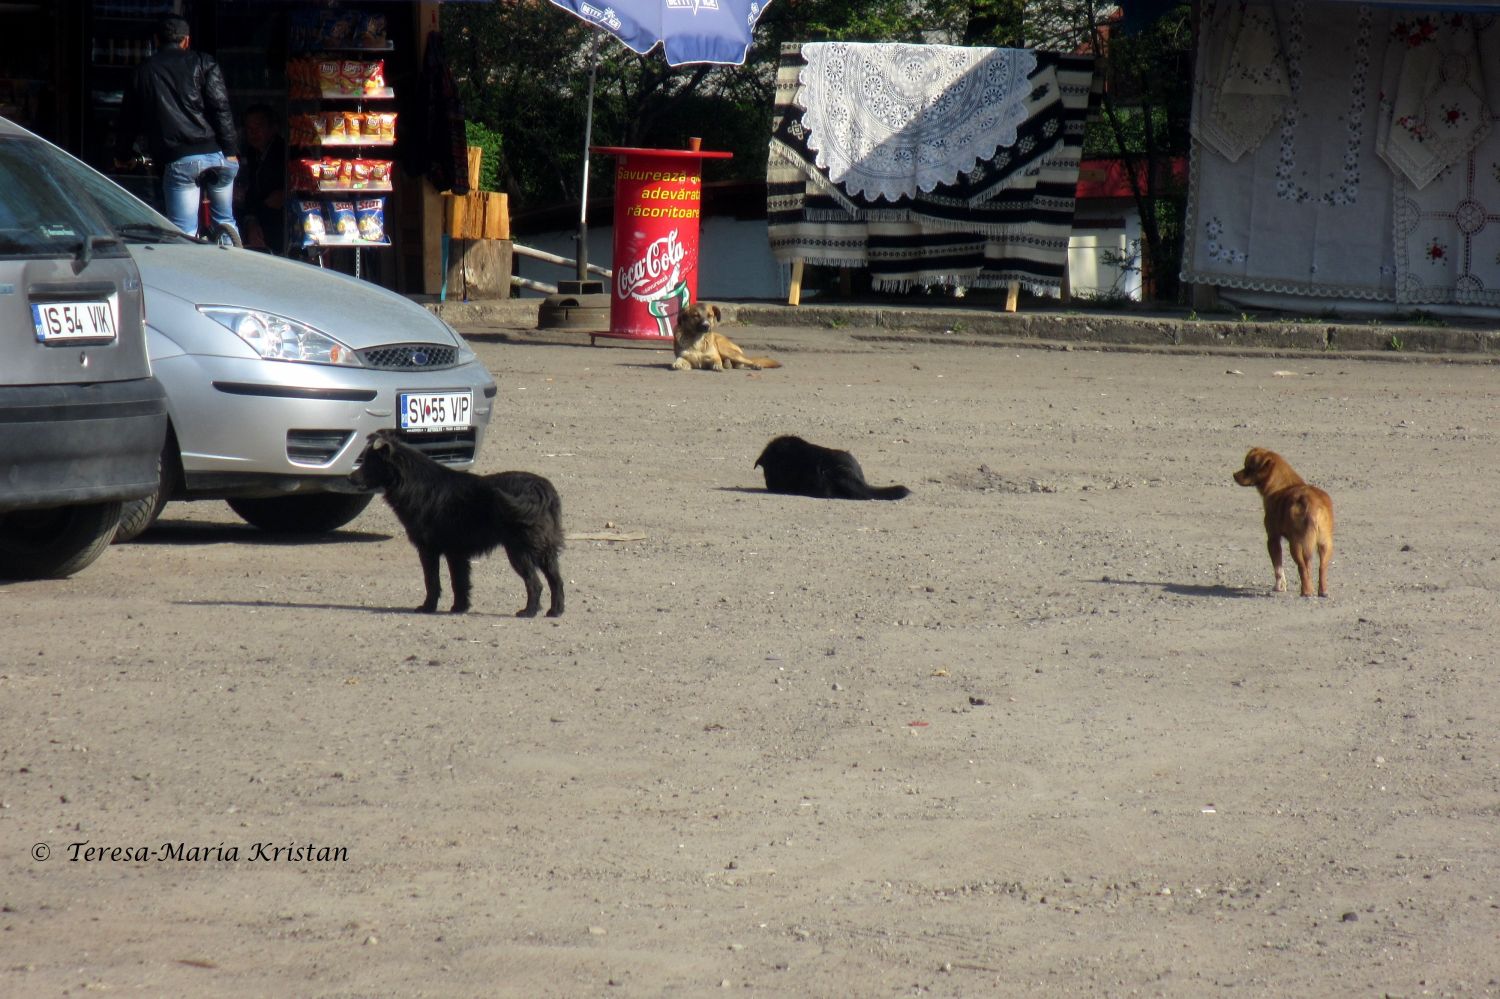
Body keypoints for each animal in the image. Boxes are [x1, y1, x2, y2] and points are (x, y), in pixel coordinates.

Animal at [348, 429, 564, 615]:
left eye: (370, 462)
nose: (350, 478)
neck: (413, 483)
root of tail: (541, 488)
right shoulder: (457, 554)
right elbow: (459, 582)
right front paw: (459, 607)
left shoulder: (429, 550)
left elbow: (432, 581)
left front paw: (428, 607)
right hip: (546, 552)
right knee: (556, 581)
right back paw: (555, 611)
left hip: (519, 551)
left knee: (535, 583)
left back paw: (528, 612)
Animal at [1230, 444, 1338, 600]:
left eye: (1249, 467)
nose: (1234, 475)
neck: (1281, 486)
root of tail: (1313, 505)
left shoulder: (1273, 539)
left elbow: (1278, 567)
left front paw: (1279, 587)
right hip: (1325, 544)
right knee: (1321, 567)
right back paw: (1322, 591)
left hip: (1296, 544)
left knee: (1302, 566)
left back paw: (1306, 591)